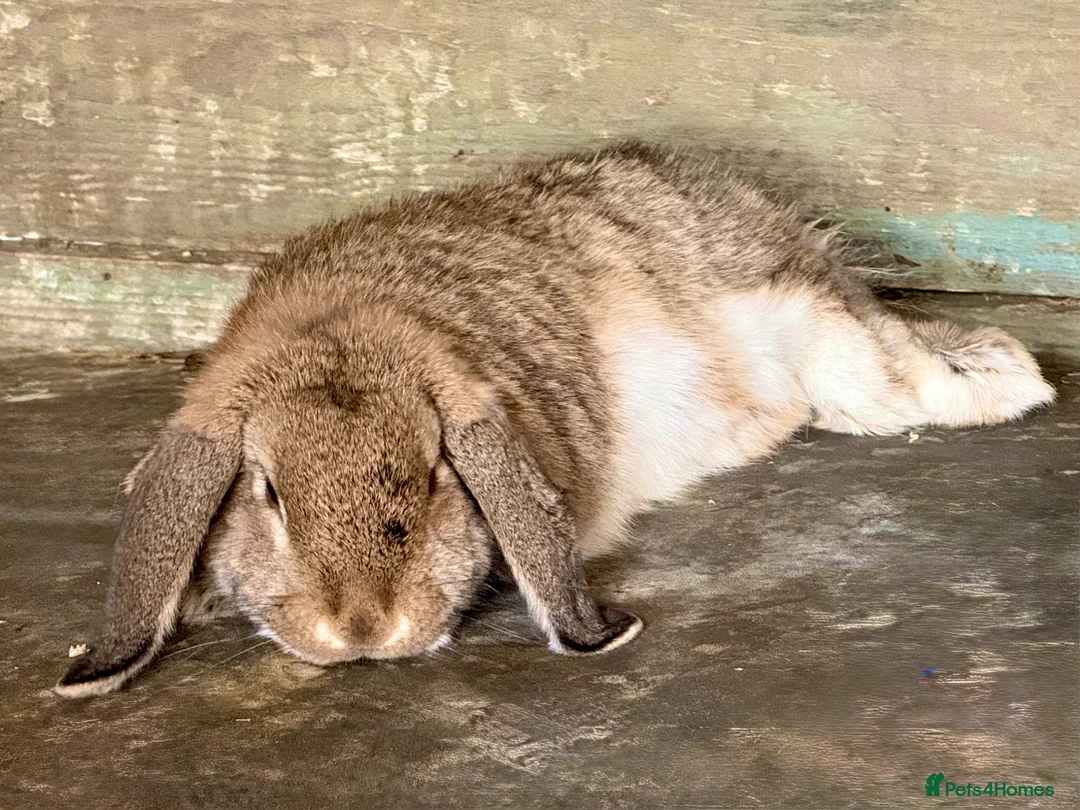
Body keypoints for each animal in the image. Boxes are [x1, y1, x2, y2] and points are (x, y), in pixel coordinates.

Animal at [56, 141, 1055, 697]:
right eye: (266, 492)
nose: (365, 629)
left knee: (885, 354)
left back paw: (1009, 376)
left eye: (435, 476)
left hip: (807, 321)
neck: (341, 333)